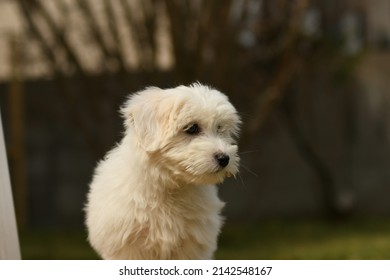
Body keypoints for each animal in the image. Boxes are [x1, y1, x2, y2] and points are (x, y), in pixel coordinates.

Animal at [85, 83, 241, 260]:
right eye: (192, 128)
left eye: (219, 128)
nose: (224, 158)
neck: (169, 186)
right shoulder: (127, 246)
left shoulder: (192, 246)